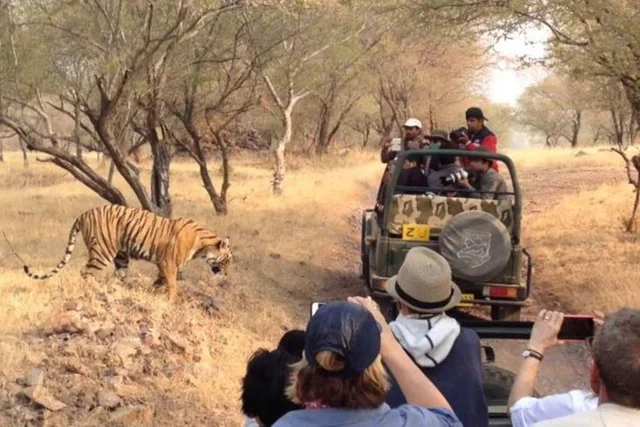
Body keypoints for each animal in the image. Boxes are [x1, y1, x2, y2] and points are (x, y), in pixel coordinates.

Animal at [23, 205, 233, 301]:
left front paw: (152, 291)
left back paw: (123, 290)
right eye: (227, 261)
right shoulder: (168, 262)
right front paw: (173, 300)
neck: (203, 246)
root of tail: (83, 214)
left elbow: (160, 280)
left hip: (121, 257)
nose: (227, 274)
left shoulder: (163, 264)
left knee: (118, 276)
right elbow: (172, 283)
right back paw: (97, 289)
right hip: (103, 251)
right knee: (86, 272)